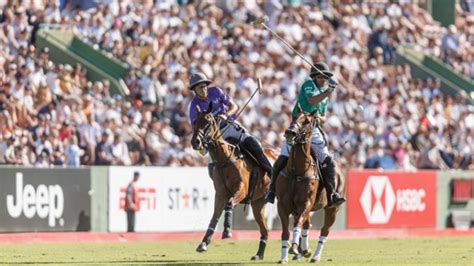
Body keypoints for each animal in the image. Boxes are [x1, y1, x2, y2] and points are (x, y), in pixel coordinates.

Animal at [191, 103, 276, 260]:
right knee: (265, 229)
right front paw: (204, 243)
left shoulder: (242, 190)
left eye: (208, 122)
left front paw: (227, 231)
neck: (225, 159)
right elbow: (215, 216)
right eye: (194, 122)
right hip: (258, 203)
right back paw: (259, 255)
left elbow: (229, 204)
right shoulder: (220, 194)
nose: (196, 142)